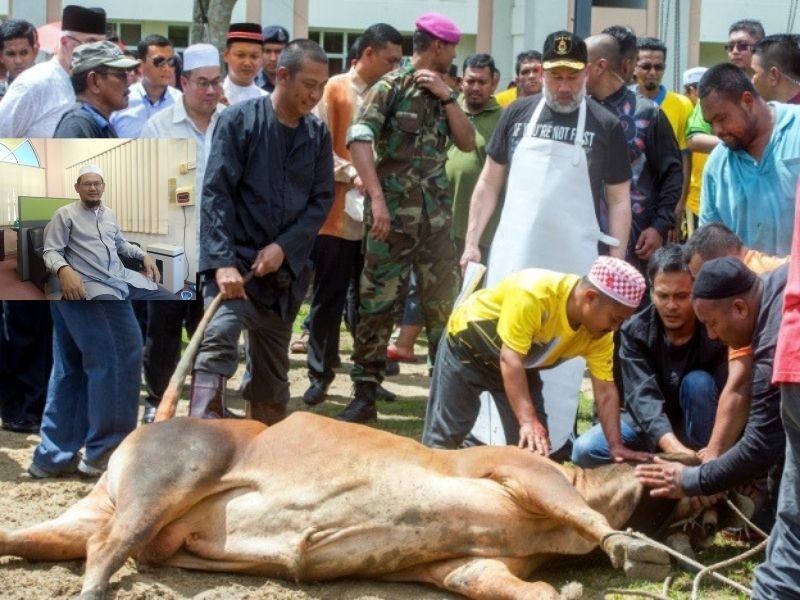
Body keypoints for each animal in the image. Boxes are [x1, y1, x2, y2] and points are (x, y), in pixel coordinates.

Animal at [1, 412, 712, 600]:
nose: (708, 518)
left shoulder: (463, 564)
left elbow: (514, 587)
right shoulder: (514, 469)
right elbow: (587, 519)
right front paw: (632, 548)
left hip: (92, 511)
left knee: (38, 539)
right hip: (169, 477)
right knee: (105, 550)